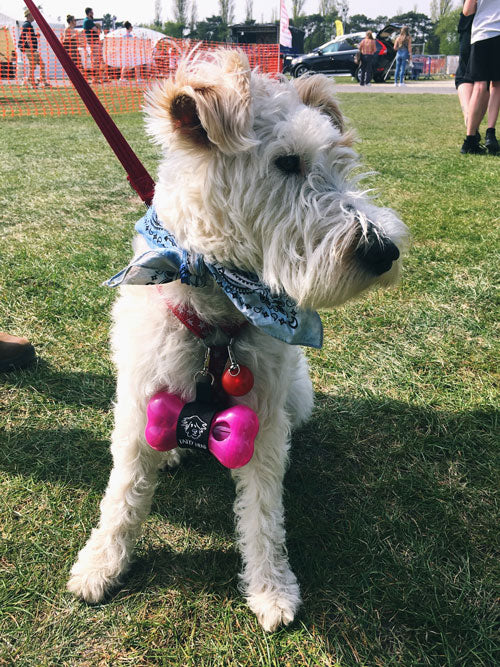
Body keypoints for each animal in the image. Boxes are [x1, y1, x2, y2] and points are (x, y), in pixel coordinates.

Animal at [67, 51, 410, 632]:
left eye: (339, 160)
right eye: (287, 162)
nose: (384, 251)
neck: (218, 308)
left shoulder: (264, 418)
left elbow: (264, 511)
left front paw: (271, 589)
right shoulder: (138, 401)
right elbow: (122, 494)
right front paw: (100, 565)